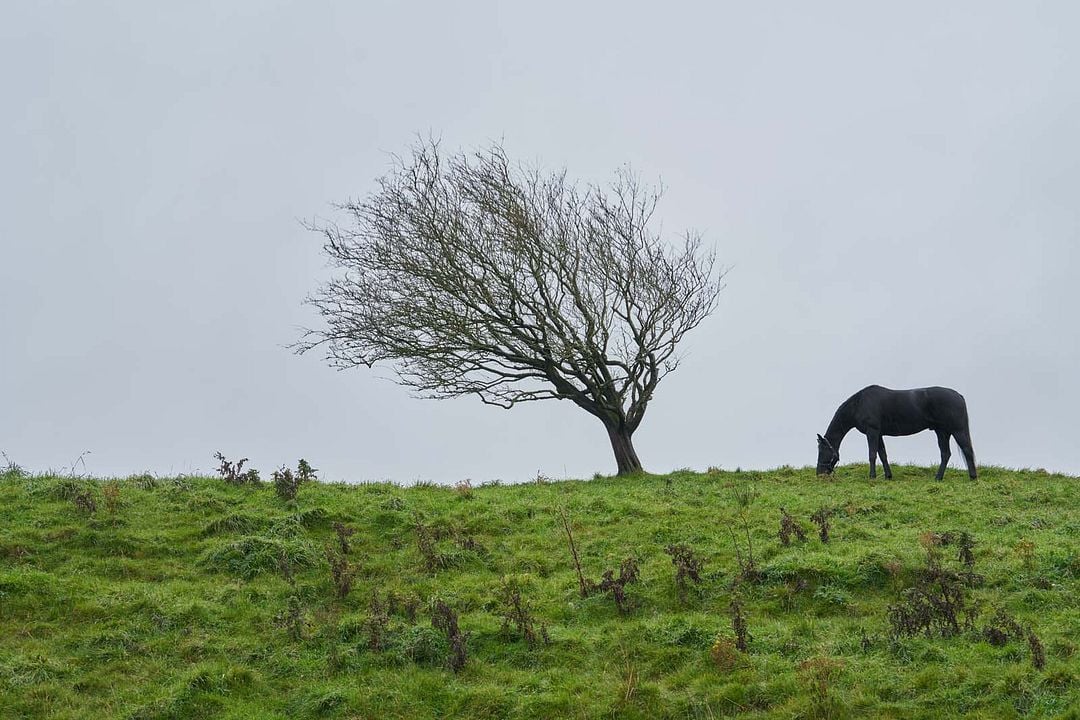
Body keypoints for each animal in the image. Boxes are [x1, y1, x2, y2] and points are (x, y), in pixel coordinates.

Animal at [816, 386, 980, 481]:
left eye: (822, 450)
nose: (819, 473)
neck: (859, 404)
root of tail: (958, 395)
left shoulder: (872, 431)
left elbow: (872, 454)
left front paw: (872, 477)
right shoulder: (879, 434)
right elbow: (882, 454)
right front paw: (888, 476)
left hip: (957, 430)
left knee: (966, 450)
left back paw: (972, 477)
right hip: (942, 432)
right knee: (946, 454)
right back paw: (938, 477)